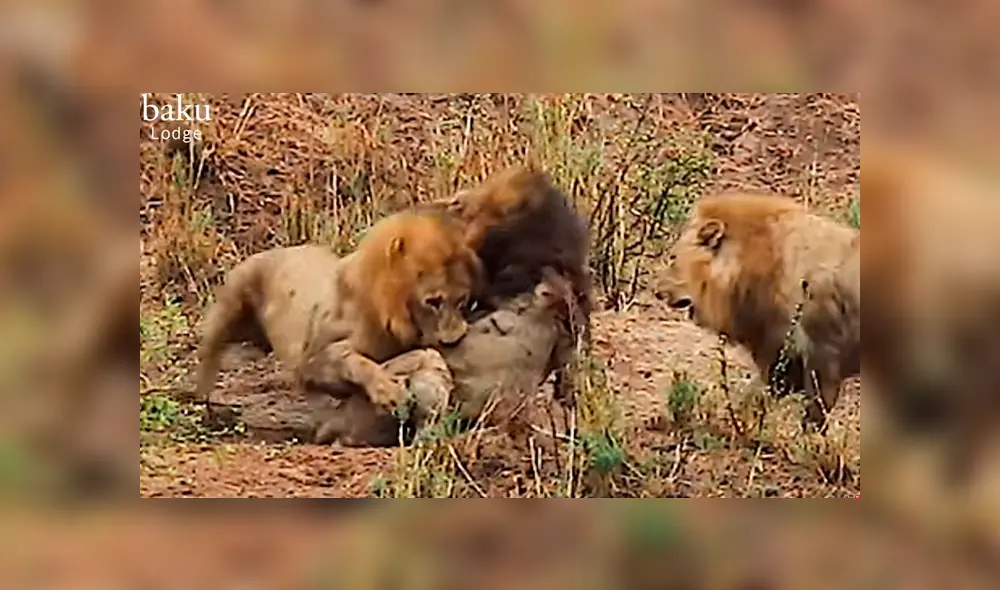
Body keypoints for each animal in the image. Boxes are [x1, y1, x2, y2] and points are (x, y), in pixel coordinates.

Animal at [194, 210, 483, 419]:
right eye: (433, 301)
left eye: (462, 300)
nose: (454, 341)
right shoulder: (310, 361)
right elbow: (354, 361)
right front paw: (388, 393)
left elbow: (420, 356)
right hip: (228, 305)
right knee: (208, 354)